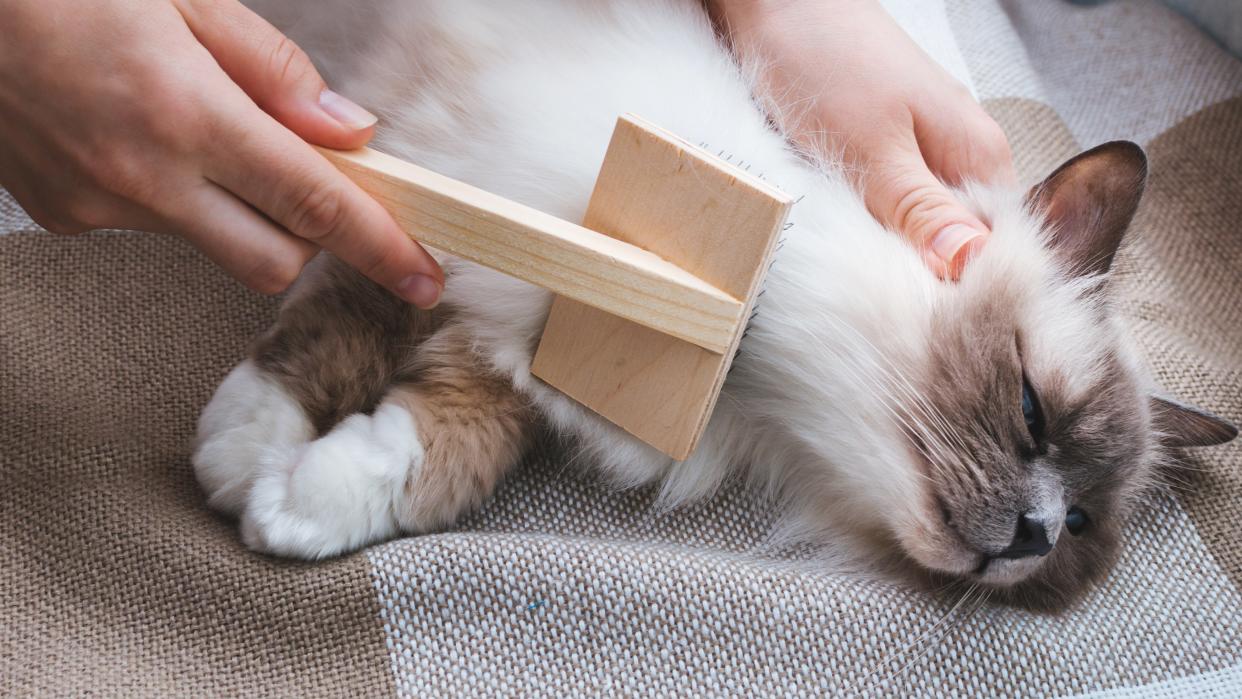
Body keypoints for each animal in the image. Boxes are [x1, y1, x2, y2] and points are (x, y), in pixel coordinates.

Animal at [191, 0, 1232, 613]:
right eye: (1029, 412)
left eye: (1082, 527)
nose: (1033, 534)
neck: (760, 367)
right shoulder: (440, 164)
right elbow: (338, 323)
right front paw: (240, 450)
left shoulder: (534, 353)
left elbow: (440, 443)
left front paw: (292, 501)